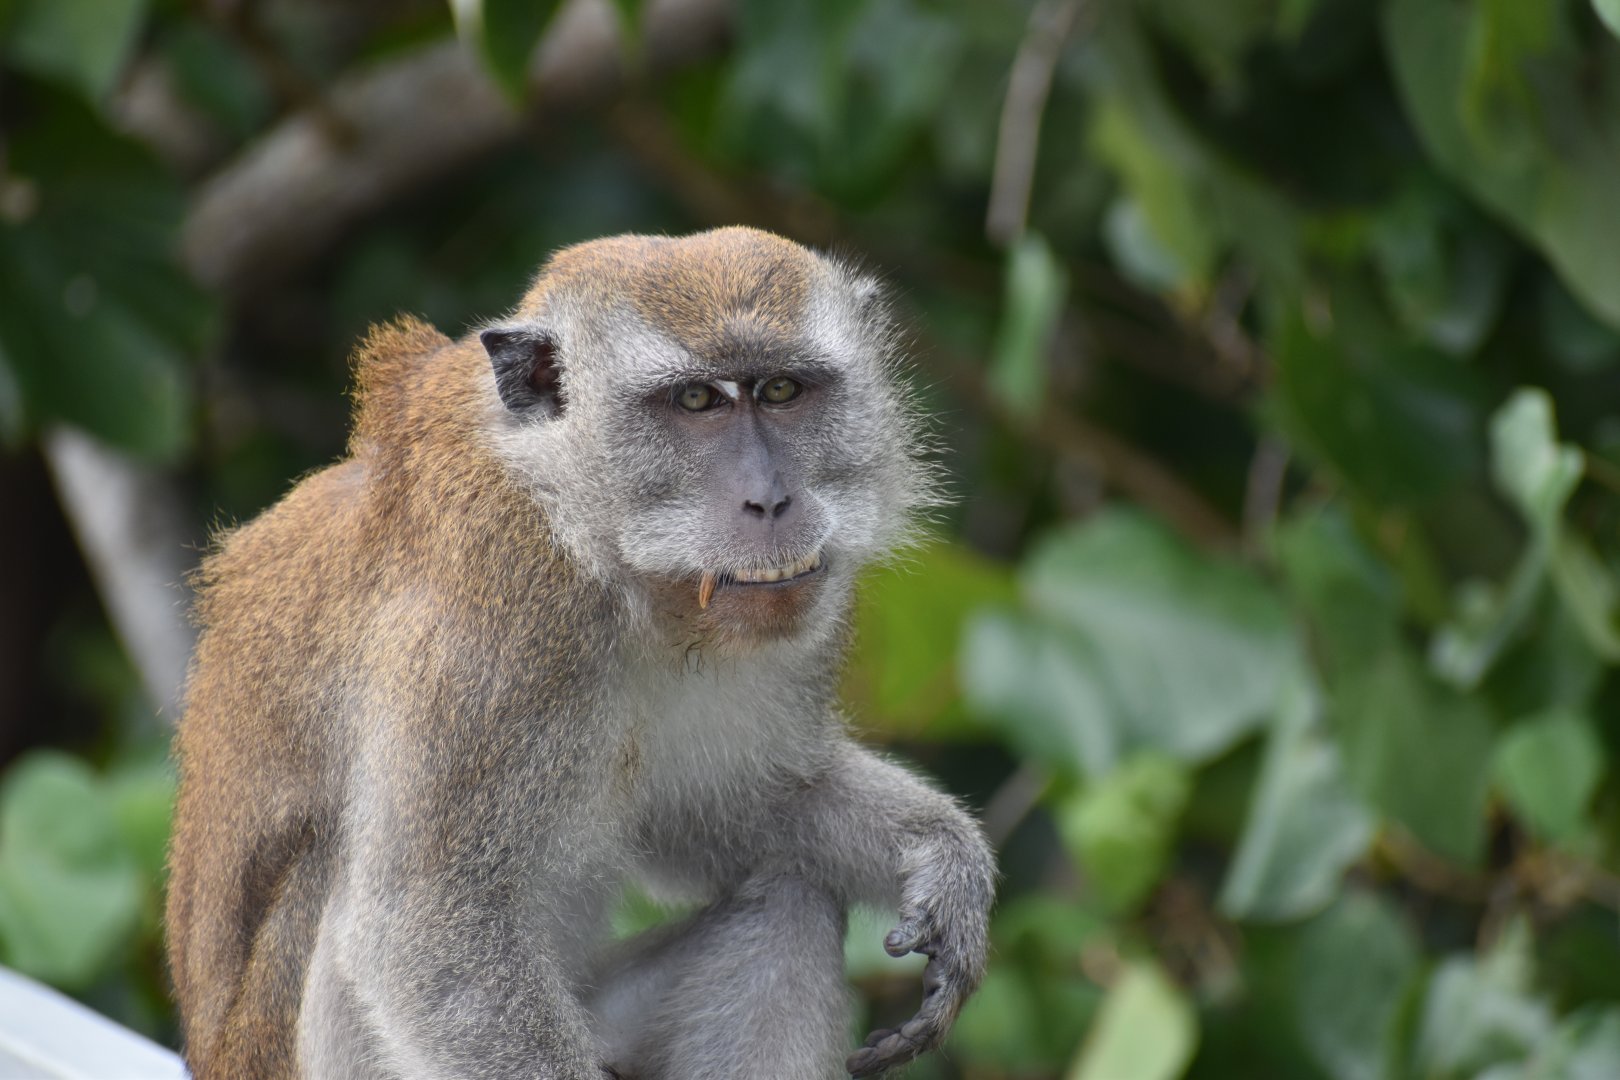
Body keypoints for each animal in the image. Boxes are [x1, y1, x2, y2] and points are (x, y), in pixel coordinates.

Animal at [165, 226, 996, 1080]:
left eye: (782, 391)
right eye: (696, 402)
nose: (771, 500)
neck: (598, 552)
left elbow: (733, 808)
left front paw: (943, 854)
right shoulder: (493, 625)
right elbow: (430, 930)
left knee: (788, 901)